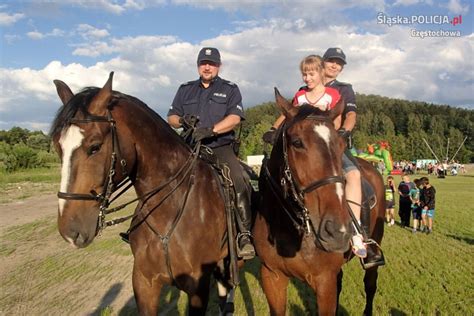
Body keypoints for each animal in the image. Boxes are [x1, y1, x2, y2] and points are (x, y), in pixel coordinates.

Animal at [50, 73, 237, 314]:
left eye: (95, 146)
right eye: (58, 147)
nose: (70, 231)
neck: (168, 210)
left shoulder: (198, 287)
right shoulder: (144, 282)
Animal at [256, 89, 386, 316]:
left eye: (341, 145)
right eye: (297, 142)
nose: (336, 231)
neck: (289, 228)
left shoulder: (324, 282)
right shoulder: (272, 276)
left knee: (370, 284)